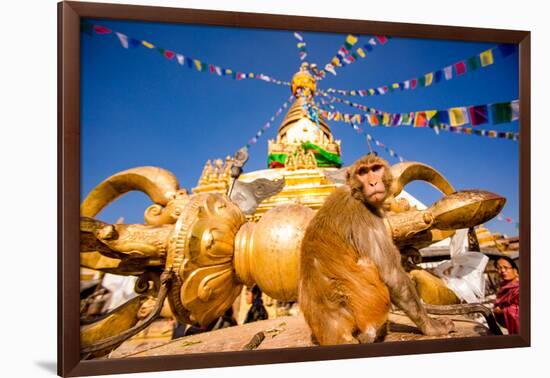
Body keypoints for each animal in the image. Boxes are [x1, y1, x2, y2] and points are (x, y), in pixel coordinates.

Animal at [300, 154, 454, 346]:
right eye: (363, 172)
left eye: (375, 169)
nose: (373, 183)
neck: (356, 193)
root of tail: (334, 332)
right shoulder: (366, 214)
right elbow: (392, 275)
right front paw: (431, 327)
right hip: (370, 308)